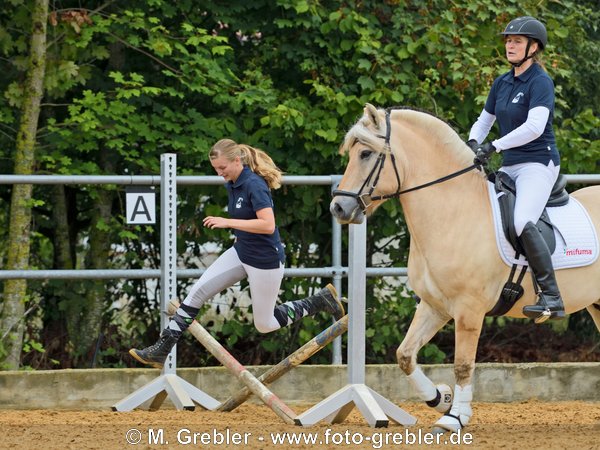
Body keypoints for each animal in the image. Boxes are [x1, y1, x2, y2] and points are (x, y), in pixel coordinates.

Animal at [330, 103, 600, 434]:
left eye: (366, 153)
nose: (338, 208)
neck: (452, 212)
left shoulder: (468, 310)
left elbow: (462, 365)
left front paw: (454, 418)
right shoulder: (434, 306)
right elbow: (405, 355)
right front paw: (440, 398)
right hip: (597, 306)